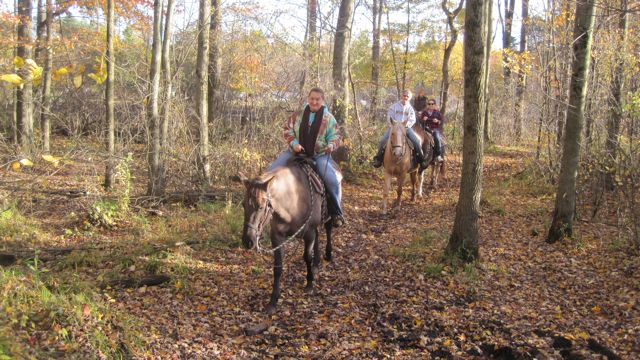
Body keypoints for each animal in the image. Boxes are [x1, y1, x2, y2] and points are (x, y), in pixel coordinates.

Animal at [238, 159, 332, 314]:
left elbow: (307, 256)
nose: (248, 241)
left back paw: (328, 254)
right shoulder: (277, 236)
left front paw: (309, 283)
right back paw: (316, 265)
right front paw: (273, 301)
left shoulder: (308, 232)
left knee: (329, 229)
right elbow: (278, 267)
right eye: (243, 205)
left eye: (261, 207)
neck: (293, 198)